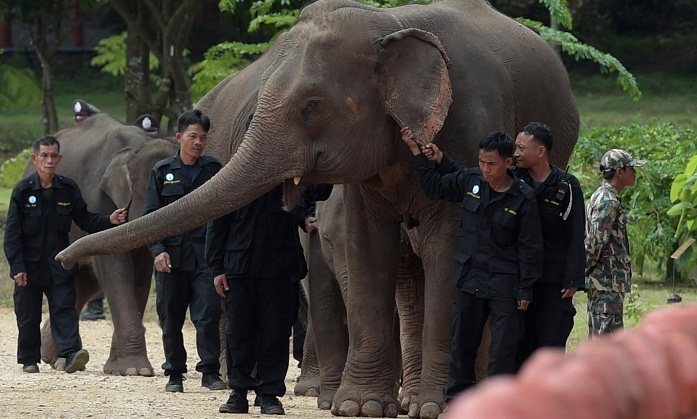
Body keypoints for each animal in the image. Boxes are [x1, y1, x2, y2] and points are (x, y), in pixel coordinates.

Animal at [57, 0, 579, 417]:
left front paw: (432, 408)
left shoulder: (472, 125)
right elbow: (368, 248)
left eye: (312, 105)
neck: (390, 23)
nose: (62, 256)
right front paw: (360, 408)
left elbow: (451, 251)